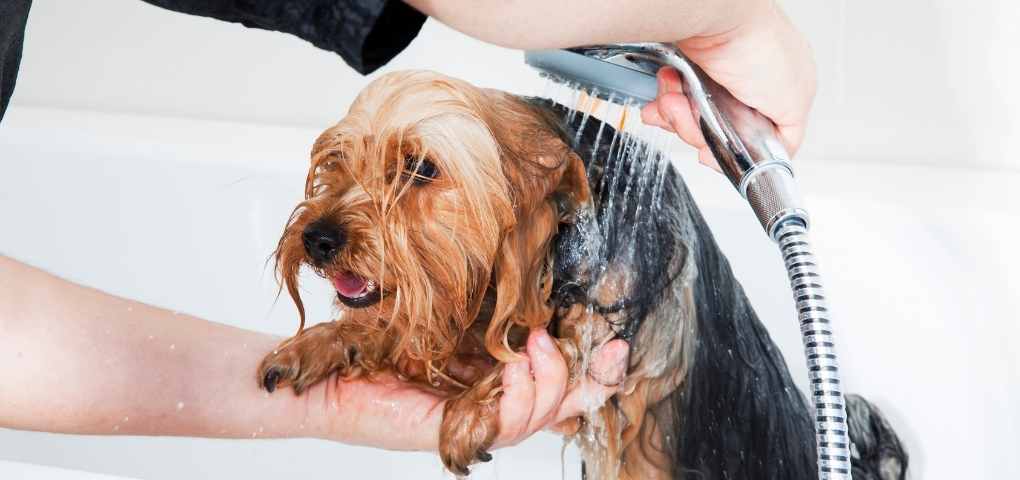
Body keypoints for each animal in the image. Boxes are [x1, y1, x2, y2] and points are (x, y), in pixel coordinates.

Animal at [257, 69, 909, 478]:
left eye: (420, 168)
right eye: (336, 159)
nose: (319, 238)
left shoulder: (617, 358)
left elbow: (539, 357)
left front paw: (468, 413)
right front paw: (319, 344)